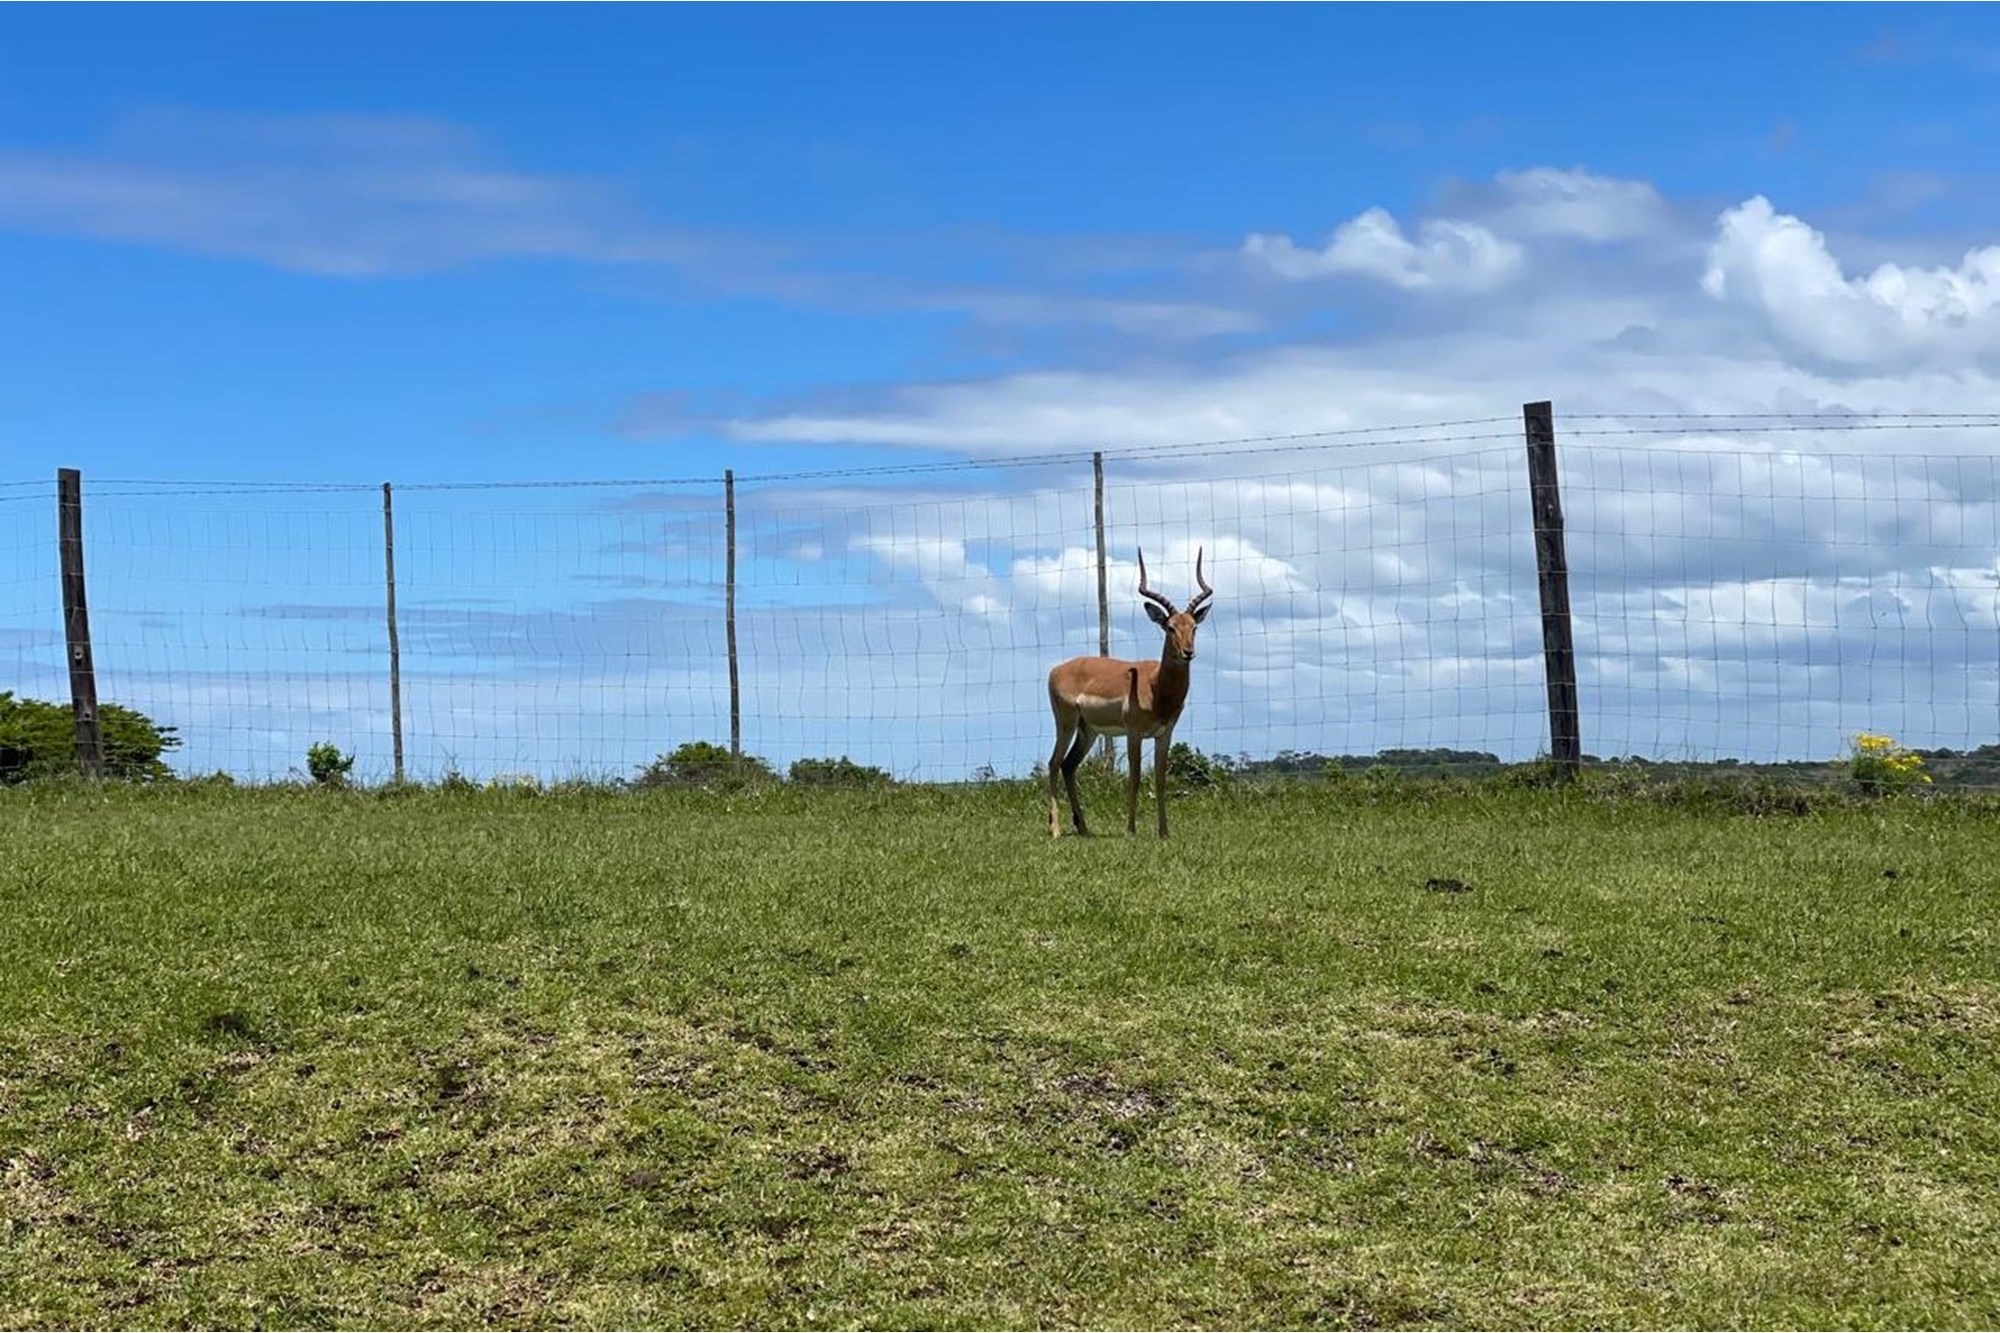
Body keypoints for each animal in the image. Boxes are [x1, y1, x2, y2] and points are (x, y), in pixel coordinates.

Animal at [1047, 547, 1213, 839]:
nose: (1188, 652)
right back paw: (1055, 829)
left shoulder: (1164, 734)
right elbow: (1134, 778)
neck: (1156, 687)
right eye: (1170, 627)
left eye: (1194, 627)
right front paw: (1131, 830)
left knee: (1068, 765)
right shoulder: (1134, 733)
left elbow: (1159, 779)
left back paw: (1084, 827)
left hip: (1088, 730)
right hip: (1066, 723)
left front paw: (1164, 832)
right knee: (1054, 763)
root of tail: (1056, 670)